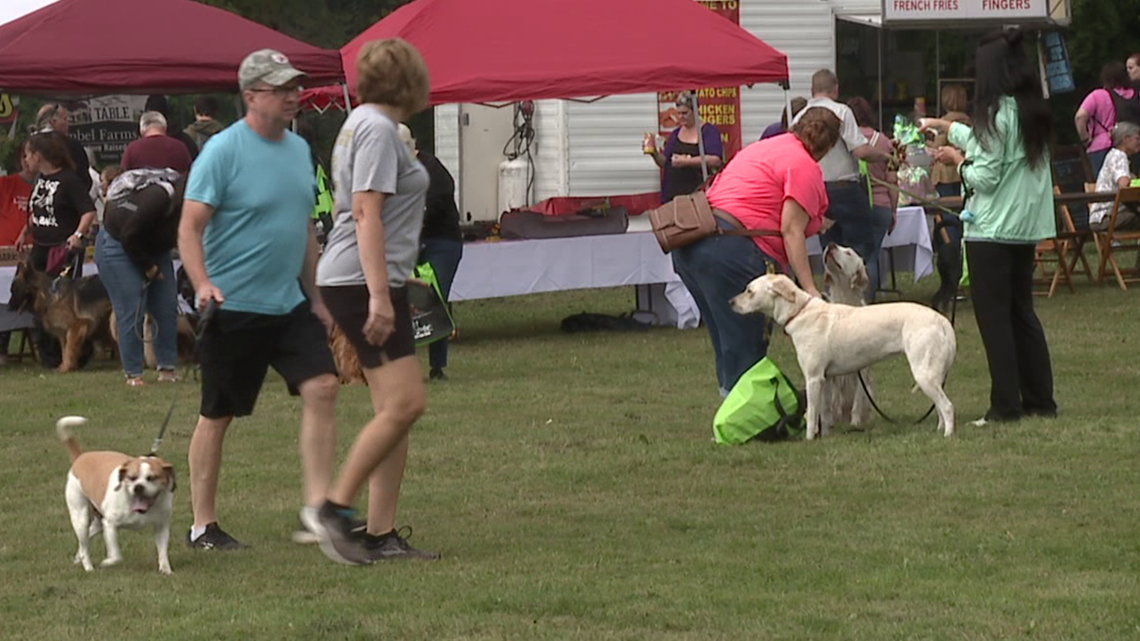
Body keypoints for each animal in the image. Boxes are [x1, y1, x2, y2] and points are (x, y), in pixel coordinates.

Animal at [57, 417, 175, 570]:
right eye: (131, 478)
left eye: (152, 478)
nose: (138, 487)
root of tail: (80, 457)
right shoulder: (110, 524)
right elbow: (116, 556)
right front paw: (107, 562)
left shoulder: (161, 527)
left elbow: (163, 552)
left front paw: (166, 570)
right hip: (80, 516)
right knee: (84, 543)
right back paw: (88, 567)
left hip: (97, 520)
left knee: (87, 538)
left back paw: (79, 557)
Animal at [729, 271, 953, 435]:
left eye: (749, 291)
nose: (730, 302)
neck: (799, 312)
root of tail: (941, 320)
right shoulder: (825, 379)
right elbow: (825, 412)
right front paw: (825, 435)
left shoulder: (813, 378)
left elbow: (812, 415)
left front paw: (809, 439)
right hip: (933, 375)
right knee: (940, 407)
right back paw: (939, 431)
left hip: (924, 374)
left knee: (947, 407)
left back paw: (947, 436)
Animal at [820, 244, 870, 428]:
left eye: (848, 253)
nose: (831, 244)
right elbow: (827, 404)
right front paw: (827, 423)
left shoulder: (862, 370)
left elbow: (857, 401)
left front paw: (855, 423)